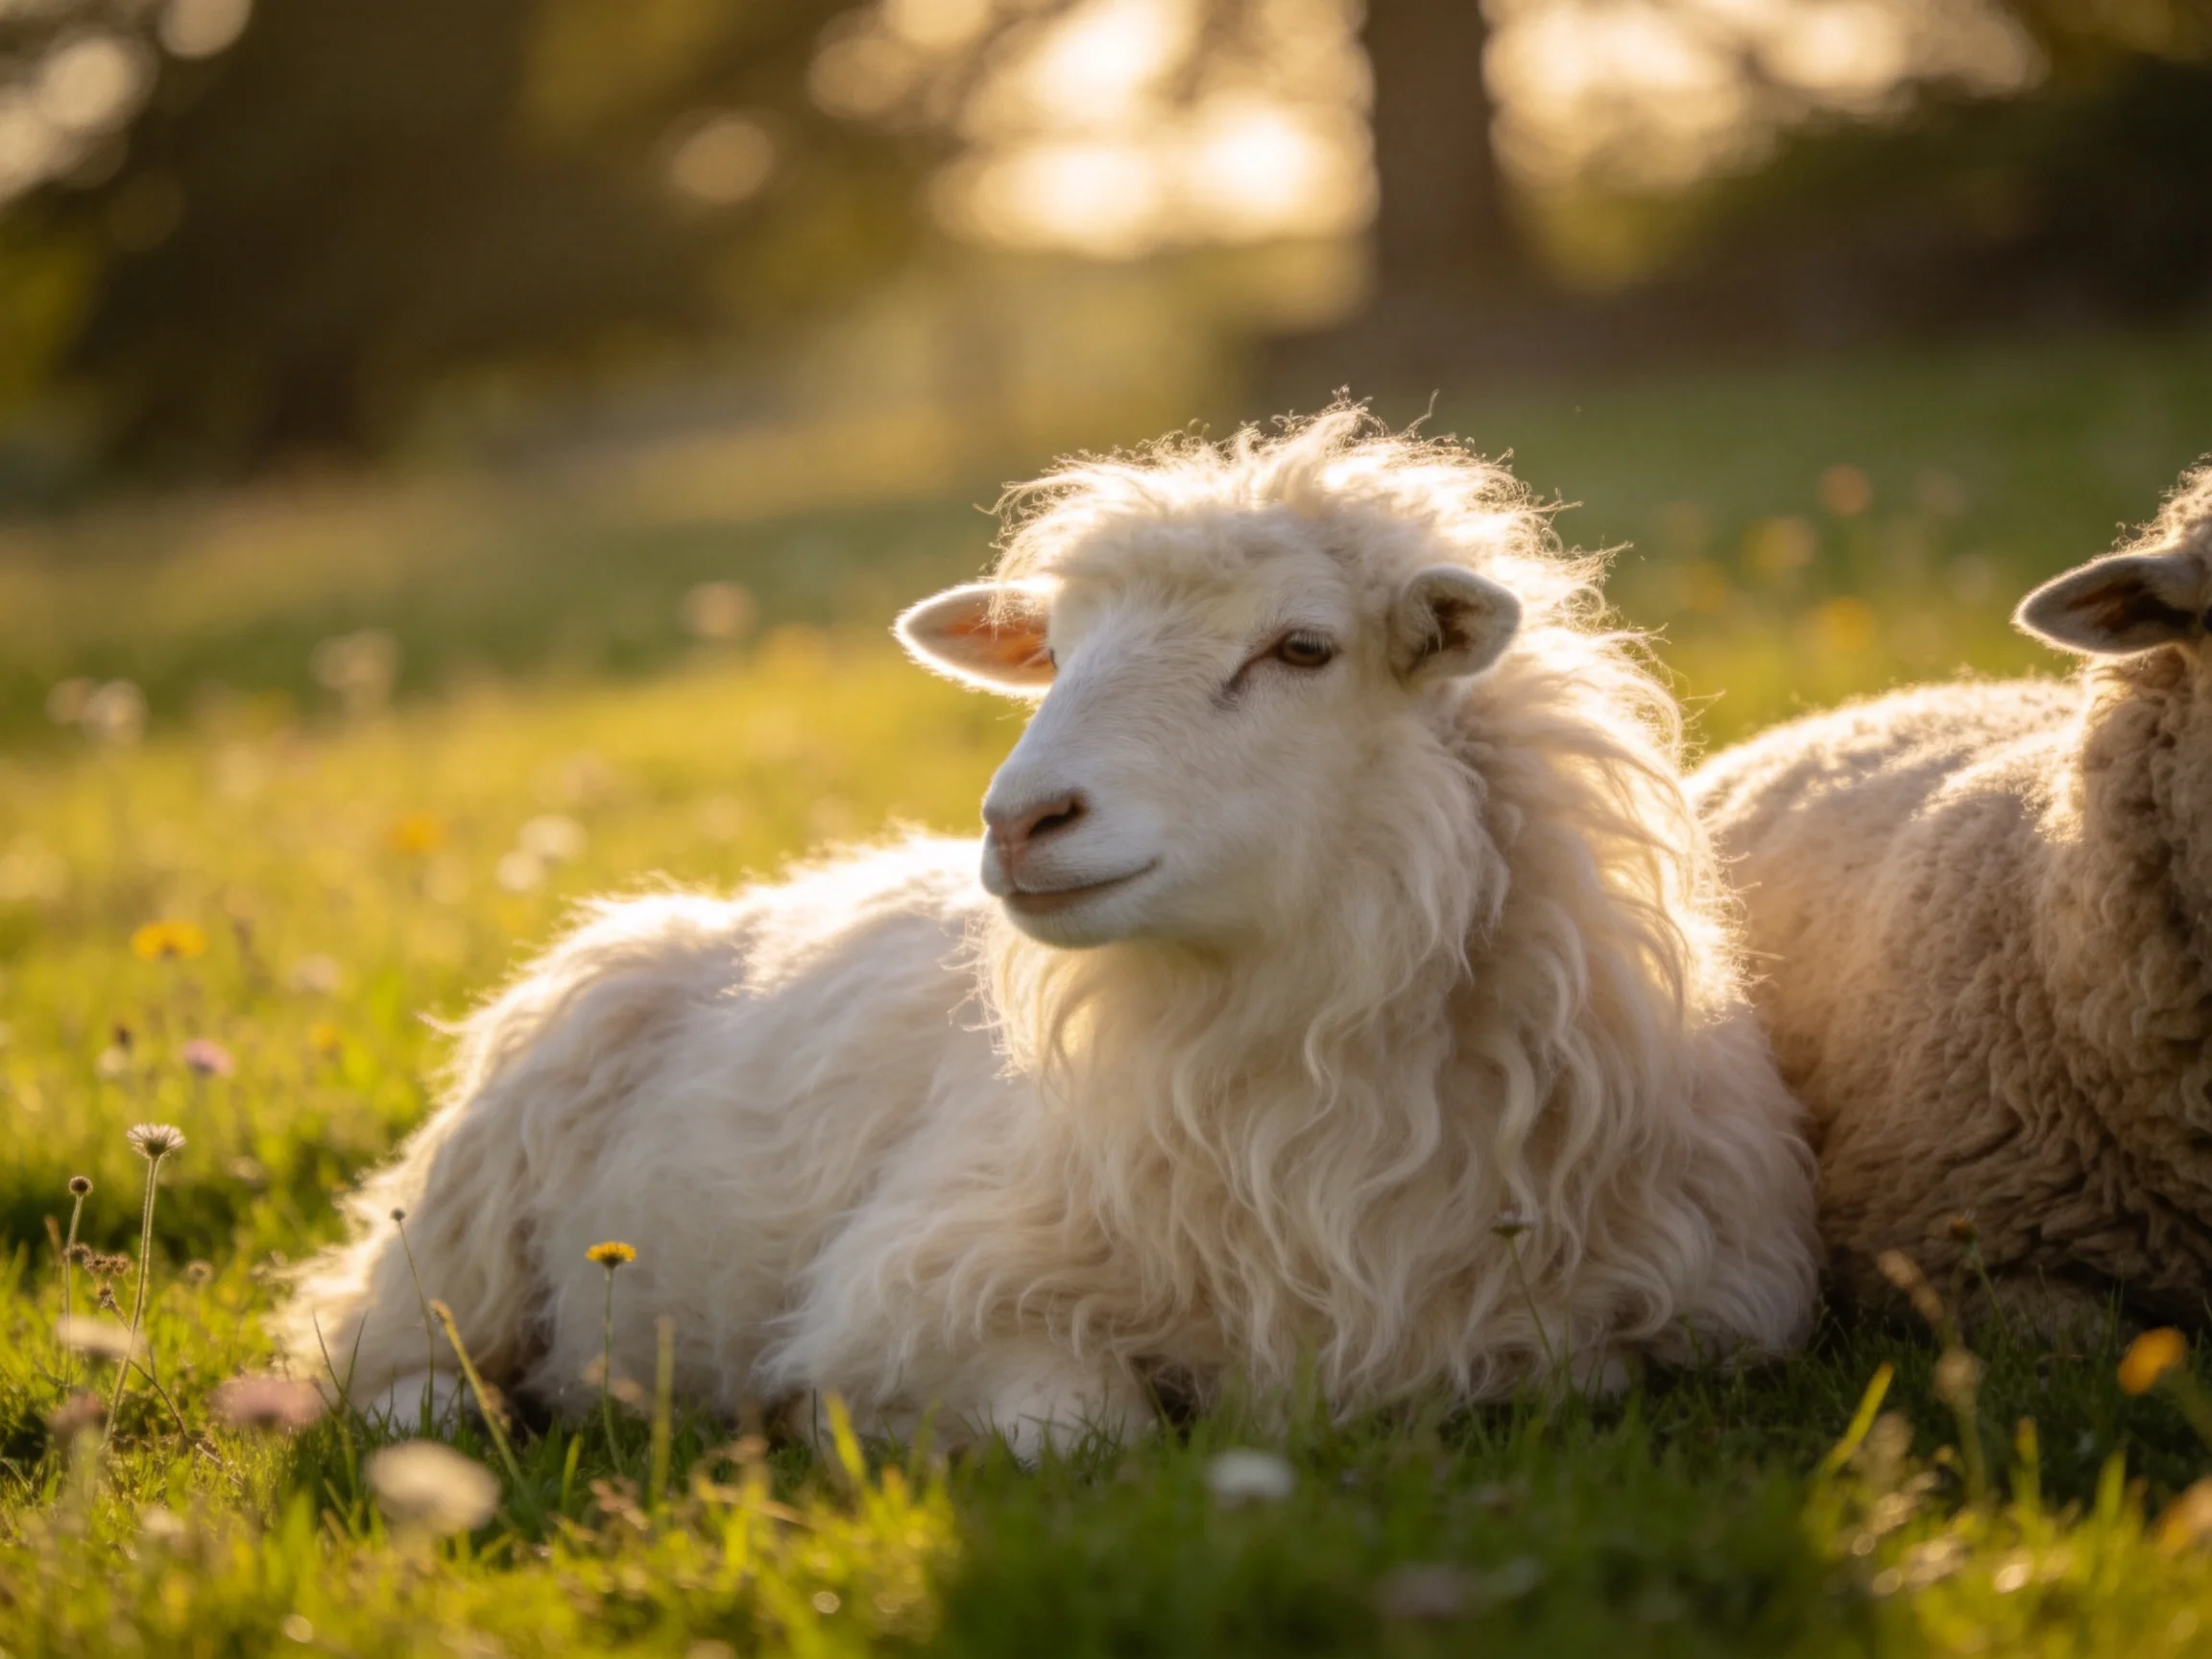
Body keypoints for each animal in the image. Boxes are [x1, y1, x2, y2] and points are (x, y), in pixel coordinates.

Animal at [282, 408, 1819, 1456]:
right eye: (1060, 652)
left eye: (1301, 649)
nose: (1020, 820)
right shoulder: (921, 1280)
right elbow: (1089, 1432)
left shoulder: (1673, 1326)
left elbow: (1568, 1375)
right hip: (470, 1205)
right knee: (374, 1350)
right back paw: (451, 1419)